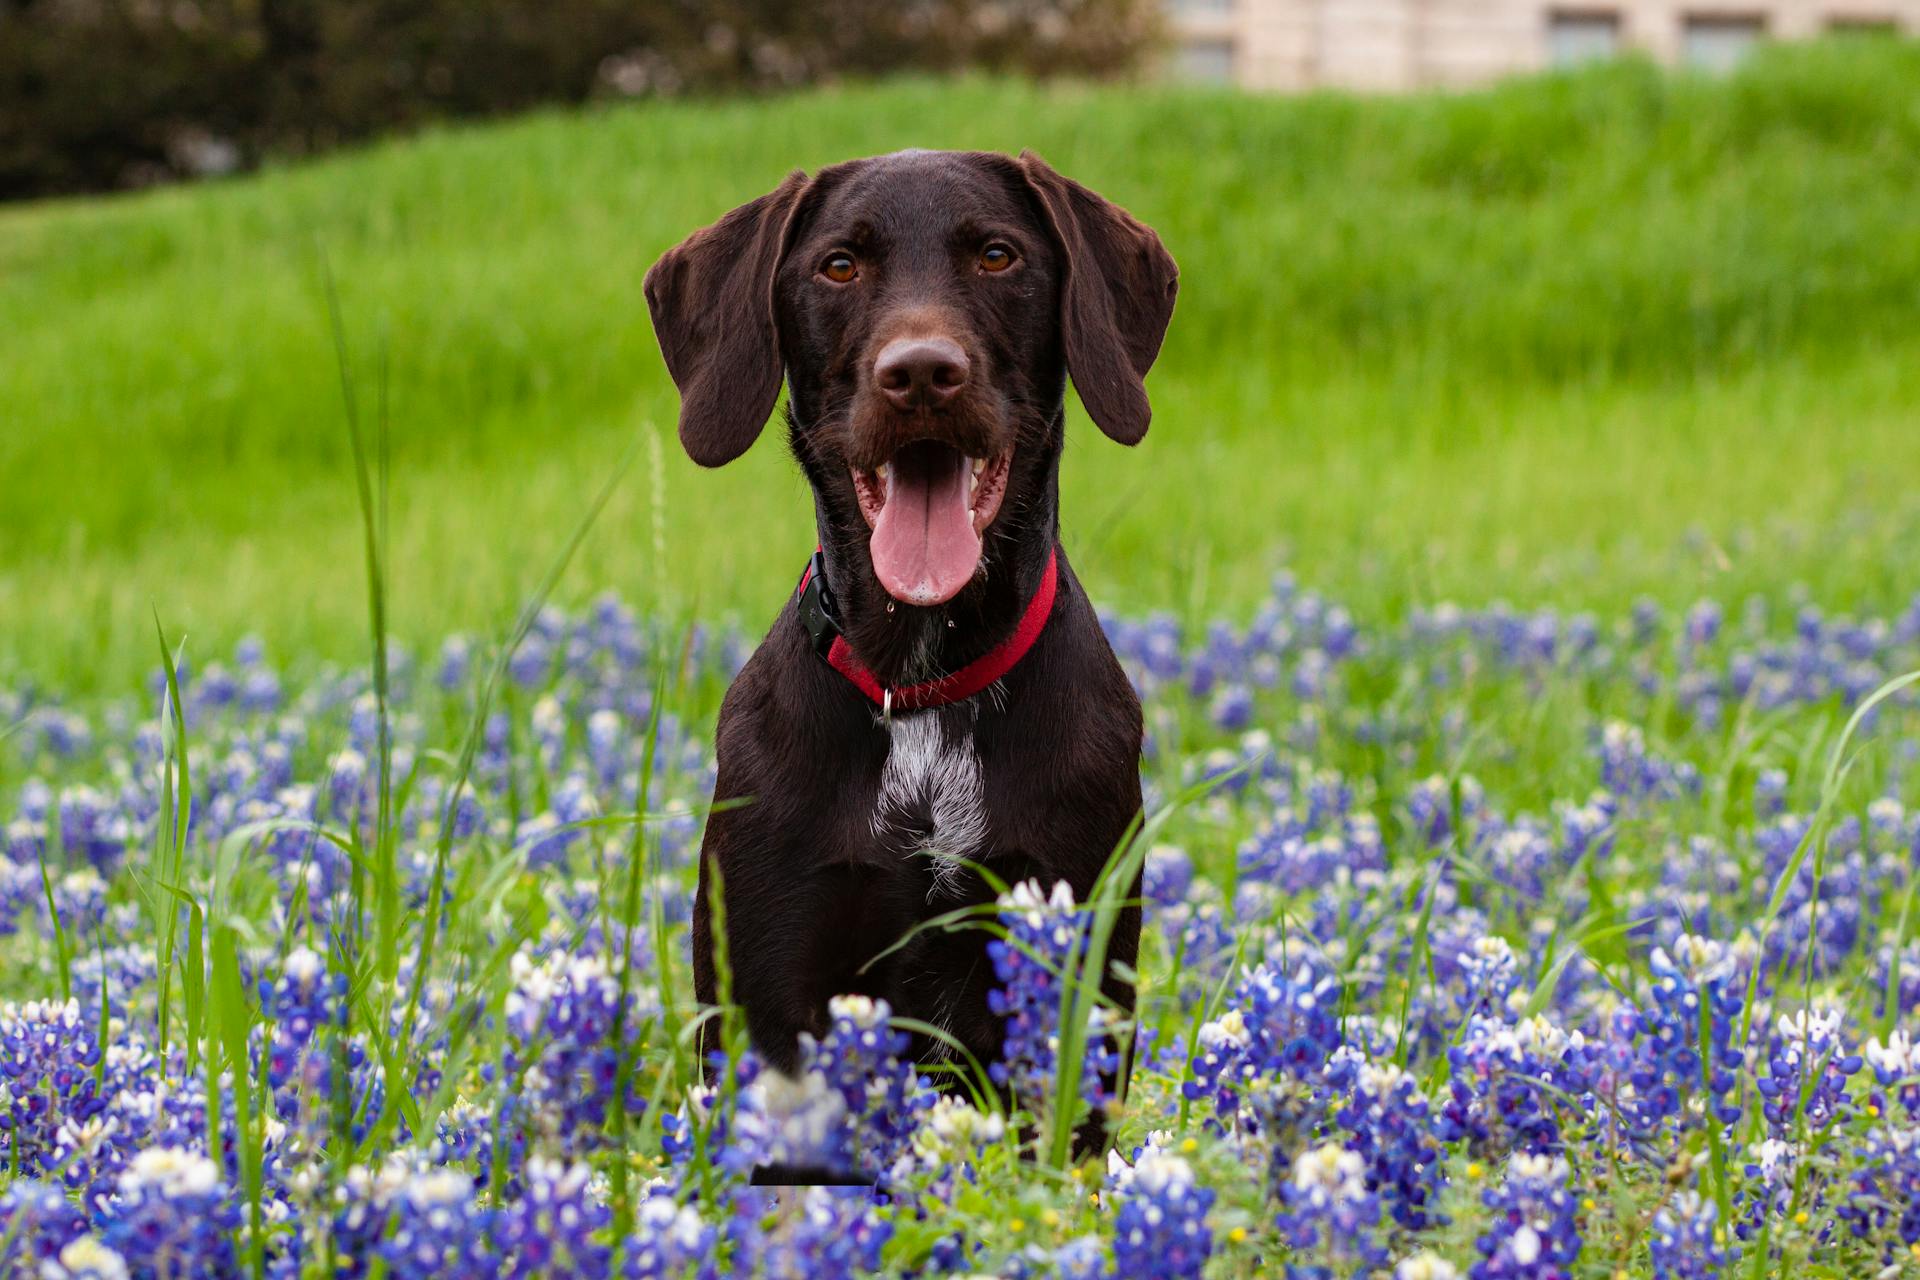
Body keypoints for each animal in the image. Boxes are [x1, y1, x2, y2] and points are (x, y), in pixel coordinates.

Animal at [648, 144, 1167, 1159]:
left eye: (998, 256)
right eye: (839, 266)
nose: (921, 371)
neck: (920, 681)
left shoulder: (1073, 956)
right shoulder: (771, 983)